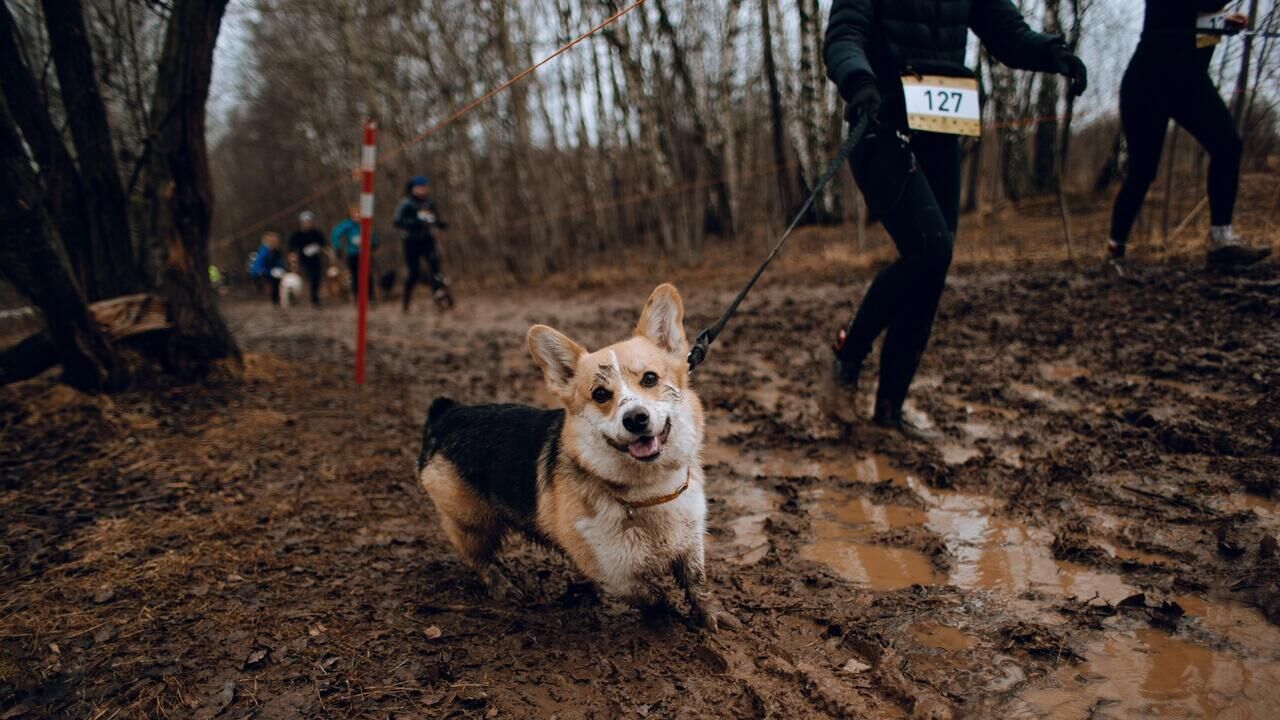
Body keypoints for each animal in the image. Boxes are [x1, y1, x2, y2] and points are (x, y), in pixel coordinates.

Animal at [414, 284, 737, 627]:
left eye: (650, 378)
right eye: (600, 394)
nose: (635, 418)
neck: (651, 490)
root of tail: (447, 413)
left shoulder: (691, 543)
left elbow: (697, 582)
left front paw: (714, 616)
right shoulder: (610, 569)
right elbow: (651, 595)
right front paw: (667, 619)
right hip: (471, 524)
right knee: (479, 559)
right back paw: (503, 586)